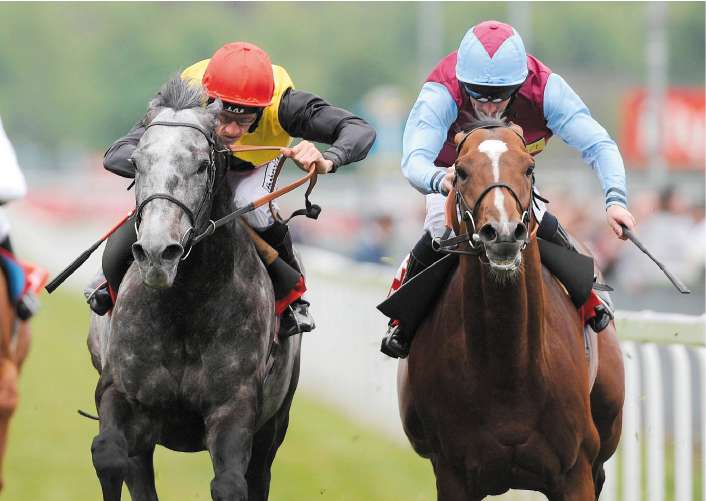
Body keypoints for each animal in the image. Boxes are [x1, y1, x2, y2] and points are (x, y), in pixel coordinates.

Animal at [88, 75, 300, 500]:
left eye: (203, 165)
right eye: (136, 163)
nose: (157, 252)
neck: (186, 307)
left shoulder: (235, 408)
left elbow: (231, 484)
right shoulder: (121, 391)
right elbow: (108, 456)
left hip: (274, 425)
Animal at [396, 122, 620, 500]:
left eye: (529, 168)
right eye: (460, 171)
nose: (502, 232)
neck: (509, 371)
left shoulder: (576, 471)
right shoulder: (453, 473)